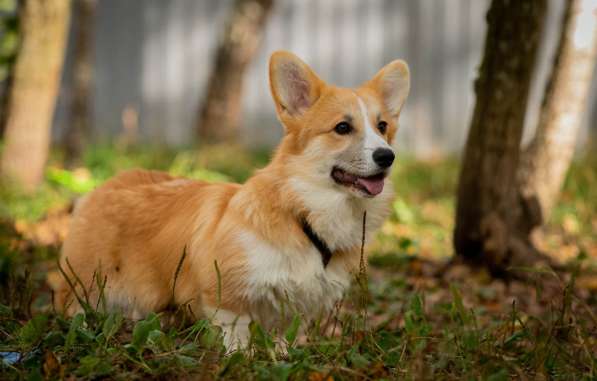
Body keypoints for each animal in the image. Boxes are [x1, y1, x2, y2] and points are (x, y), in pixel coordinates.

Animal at [52, 52, 410, 348]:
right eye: (342, 127)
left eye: (382, 126)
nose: (387, 156)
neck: (304, 214)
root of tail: (102, 188)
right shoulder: (225, 298)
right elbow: (236, 340)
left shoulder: (292, 310)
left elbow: (281, 342)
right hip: (88, 289)